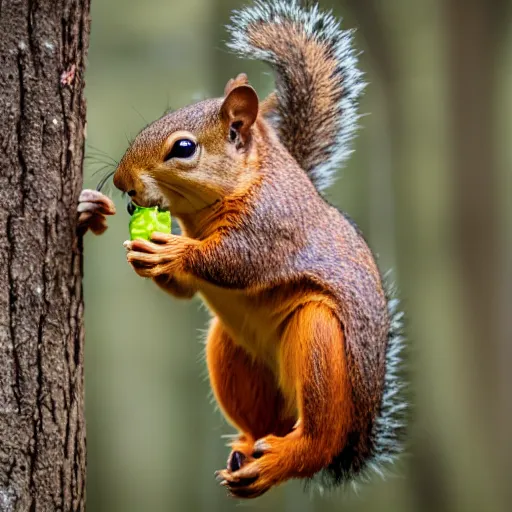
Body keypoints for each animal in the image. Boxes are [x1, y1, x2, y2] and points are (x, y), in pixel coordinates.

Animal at [78, 0, 406, 500]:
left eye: (184, 148)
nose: (121, 182)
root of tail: (358, 442)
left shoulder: (272, 223)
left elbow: (237, 260)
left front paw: (174, 252)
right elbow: (185, 289)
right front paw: (125, 238)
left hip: (319, 339)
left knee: (319, 440)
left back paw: (286, 457)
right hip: (232, 352)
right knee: (261, 424)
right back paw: (247, 453)